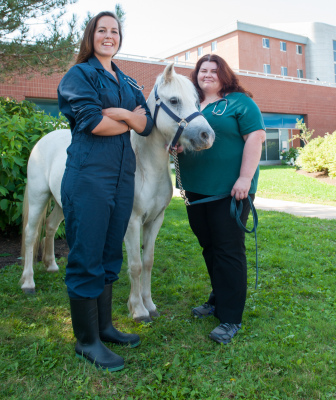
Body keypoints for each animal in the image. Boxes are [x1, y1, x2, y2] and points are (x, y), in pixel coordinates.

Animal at [19, 65, 215, 322]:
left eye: (196, 101)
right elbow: (135, 265)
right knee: (31, 234)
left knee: (50, 227)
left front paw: (150, 304)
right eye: (174, 100)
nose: (206, 135)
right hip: (38, 197)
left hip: (62, 204)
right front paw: (139, 310)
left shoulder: (155, 220)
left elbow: (148, 261)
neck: (145, 168)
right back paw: (28, 282)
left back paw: (51, 266)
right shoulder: (131, 222)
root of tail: (44, 138)